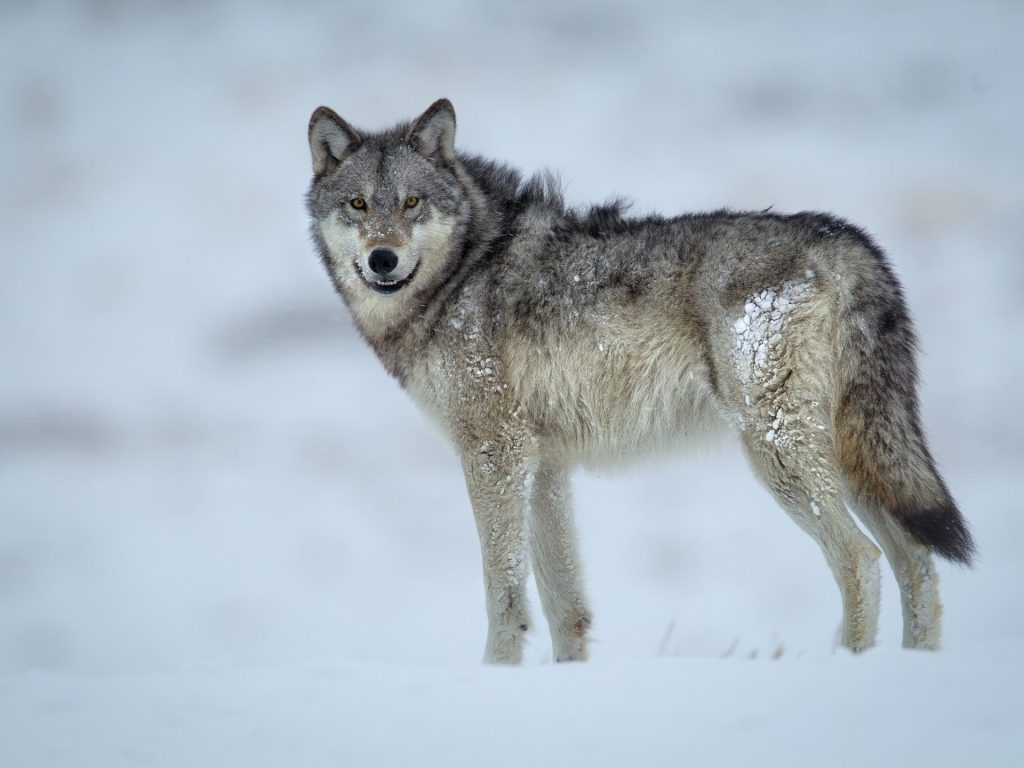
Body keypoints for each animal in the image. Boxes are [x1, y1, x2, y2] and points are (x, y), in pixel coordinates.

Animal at [305, 99, 974, 663]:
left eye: (412, 203)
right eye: (358, 206)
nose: (383, 259)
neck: (463, 273)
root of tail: (849, 241)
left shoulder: (494, 453)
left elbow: (504, 595)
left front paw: (497, 676)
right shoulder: (544, 465)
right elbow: (564, 606)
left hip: (780, 453)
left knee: (861, 559)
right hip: (853, 458)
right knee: (916, 561)